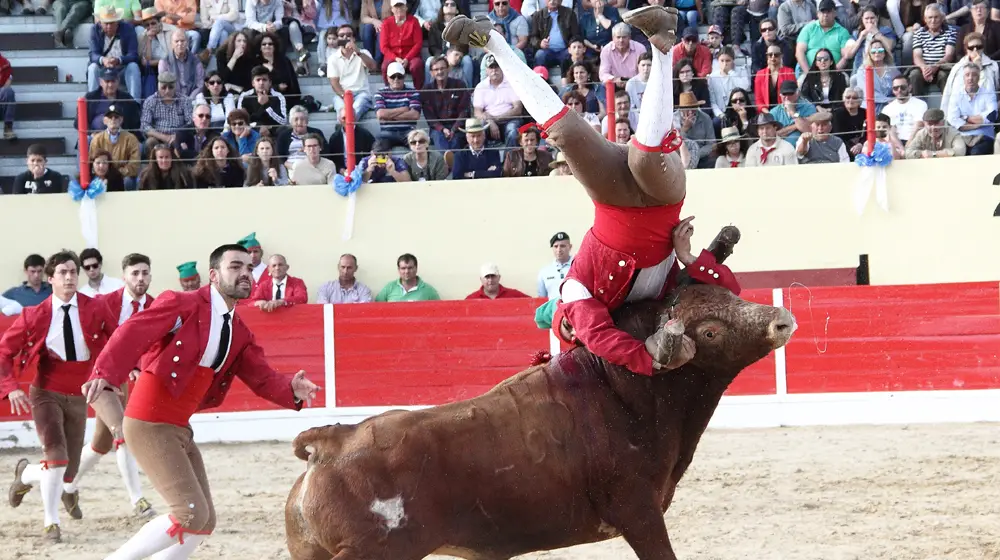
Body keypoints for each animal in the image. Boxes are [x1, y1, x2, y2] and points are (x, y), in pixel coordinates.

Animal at [284, 284, 796, 560]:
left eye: (727, 293)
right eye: (709, 331)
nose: (782, 320)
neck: (628, 393)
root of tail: (330, 441)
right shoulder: (640, 512)